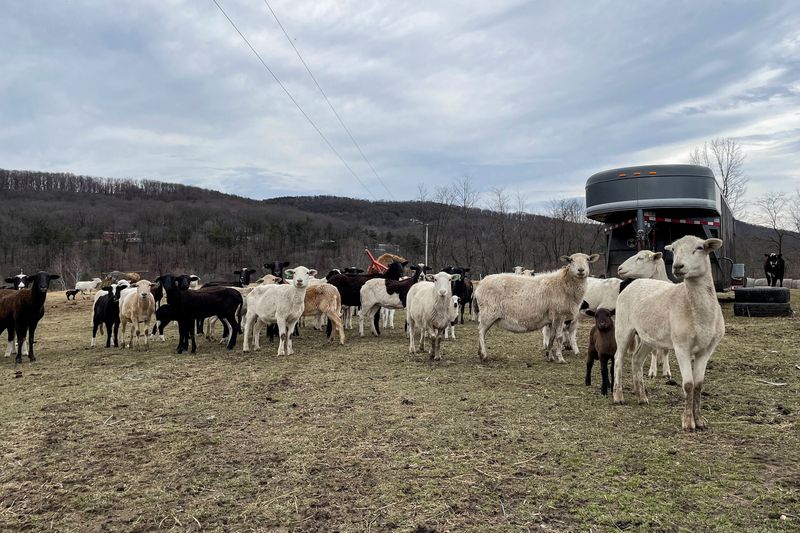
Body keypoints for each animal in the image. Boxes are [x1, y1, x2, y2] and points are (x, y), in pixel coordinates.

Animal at [612, 235, 724, 430]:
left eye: (700, 247)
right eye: (674, 249)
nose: (678, 266)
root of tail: (635, 282)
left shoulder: (706, 350)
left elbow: (698, 385)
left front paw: (700, 420)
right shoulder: (681, 346)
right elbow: (688, 385)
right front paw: (688, 422)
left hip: (647, 337)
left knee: (637, 359)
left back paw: (642, 397)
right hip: (623, 328)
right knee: (618, 358)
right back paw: (618, 396)